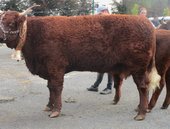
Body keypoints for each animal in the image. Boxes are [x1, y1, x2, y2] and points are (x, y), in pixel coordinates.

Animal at [0, 9, 160, 120]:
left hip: (139, 69)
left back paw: (141, 113)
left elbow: (56, 88)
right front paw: (49, 106)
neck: (35, 33)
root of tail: (147, 23)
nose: (1, 36)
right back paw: (140, 109)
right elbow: (50, 88)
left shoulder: (55, 68)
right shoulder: (49, 70)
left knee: (142, 88)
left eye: (10, 23)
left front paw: (56, 110)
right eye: (1, 21)